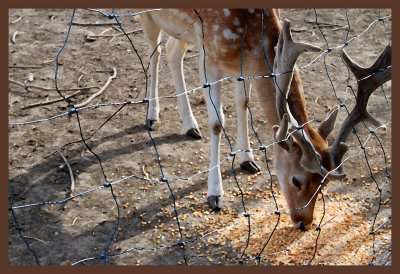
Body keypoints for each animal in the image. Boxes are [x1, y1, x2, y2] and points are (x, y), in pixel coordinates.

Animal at [139, 8, 392, 230]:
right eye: (296, 180)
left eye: (325, 183)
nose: (304, 223)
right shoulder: (209, 58)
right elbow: (217, 123)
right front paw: (215, 195)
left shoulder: (243, 64)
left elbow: (243, 103)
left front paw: (247, 159)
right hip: (149, 17)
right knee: (154, 50)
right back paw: (152, 115)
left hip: (180, 29)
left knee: (172, 50)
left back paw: (190, 125)